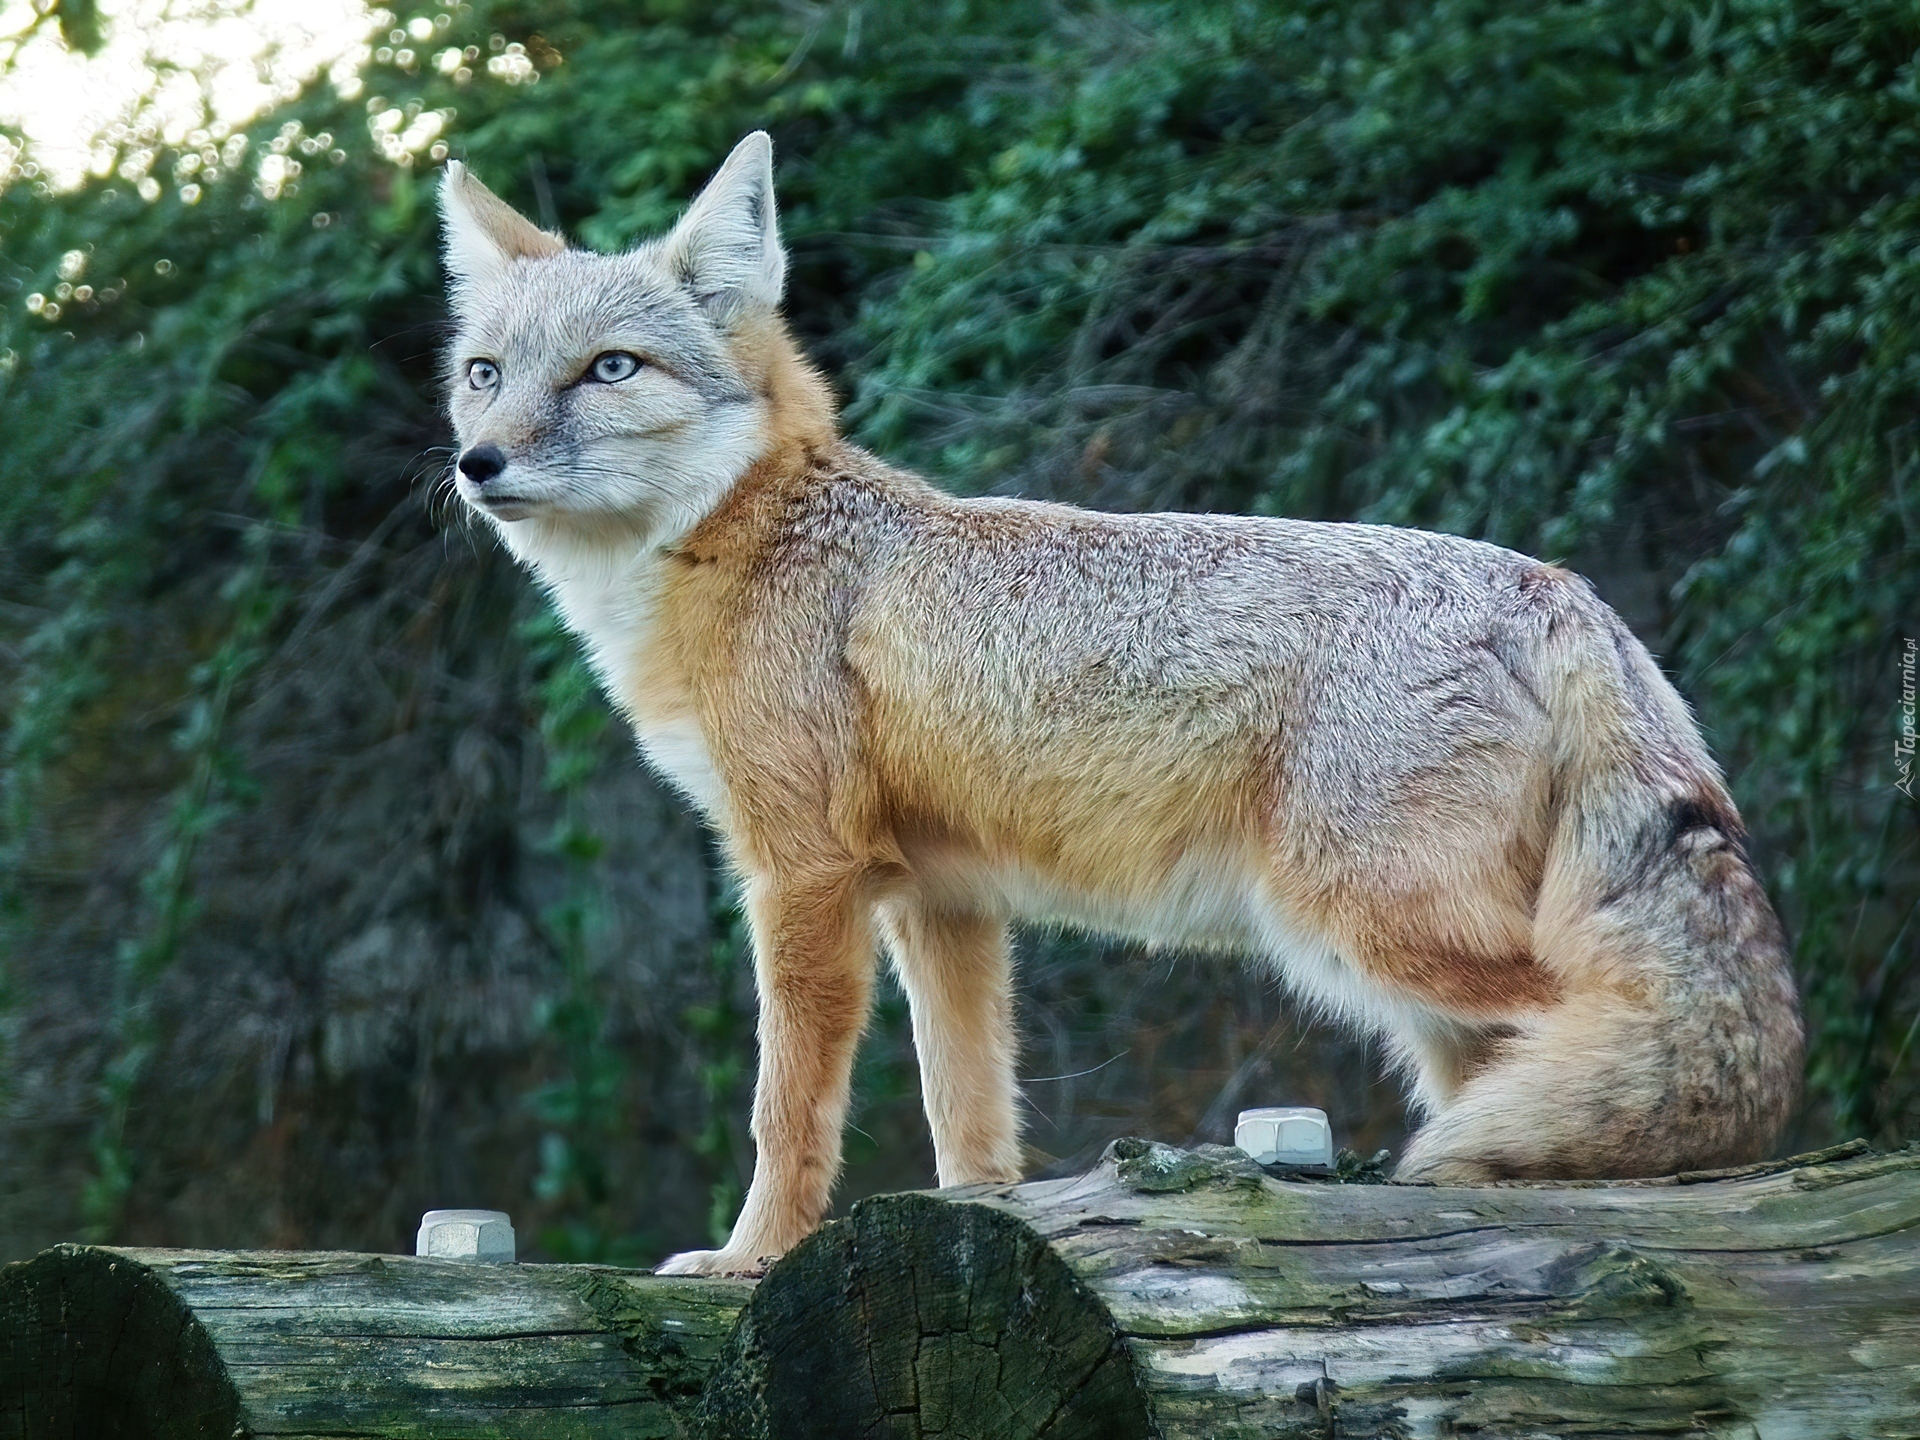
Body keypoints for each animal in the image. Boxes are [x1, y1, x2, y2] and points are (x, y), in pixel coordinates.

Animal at [437, 132, 1803, 1276]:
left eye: (609, 370)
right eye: (484, 375)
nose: (475, 463)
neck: (753, 542)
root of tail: (1557, 585)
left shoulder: (804, 876)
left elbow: (788, 1109)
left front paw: (751, 1262)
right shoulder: (941, 900)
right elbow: (967, 1115)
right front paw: (970, 1233)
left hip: (1366, 933)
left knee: (1623, 1046)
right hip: (1406, 982)